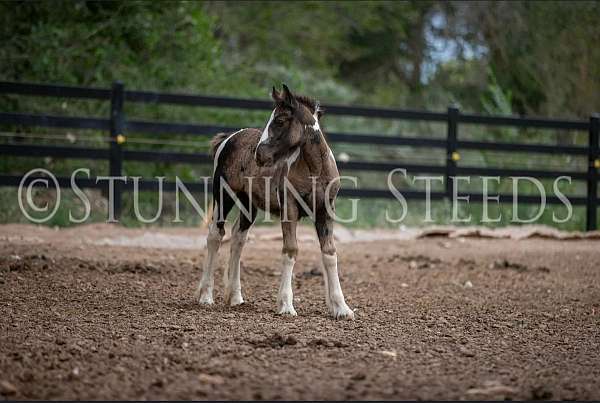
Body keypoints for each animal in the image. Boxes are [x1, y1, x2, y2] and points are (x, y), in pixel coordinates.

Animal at [197, 84, 354, 318]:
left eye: (280, 120)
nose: (258, 155)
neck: (315, 169)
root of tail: (229, 138)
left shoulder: (325, 211)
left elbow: (329, 253)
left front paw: (341, 307)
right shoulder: (289, 209)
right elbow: (291, 250)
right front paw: (286, 305)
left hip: (248, 204)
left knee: (238, 237)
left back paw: (235, 297)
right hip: (223, 195)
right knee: (216, 235)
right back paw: (206, 296)